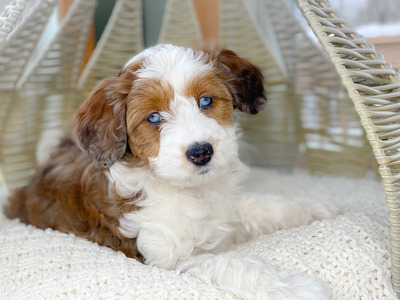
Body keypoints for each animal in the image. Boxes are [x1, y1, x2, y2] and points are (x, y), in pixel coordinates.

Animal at [4, 45, 336, 300]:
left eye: (206, 100)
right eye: (153, 117)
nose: (201, 152)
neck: (188, 190)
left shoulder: (226, 208)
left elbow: (261, 207)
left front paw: (313, 209)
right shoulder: (168, 258)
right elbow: (237, 265)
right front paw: (296, 287)